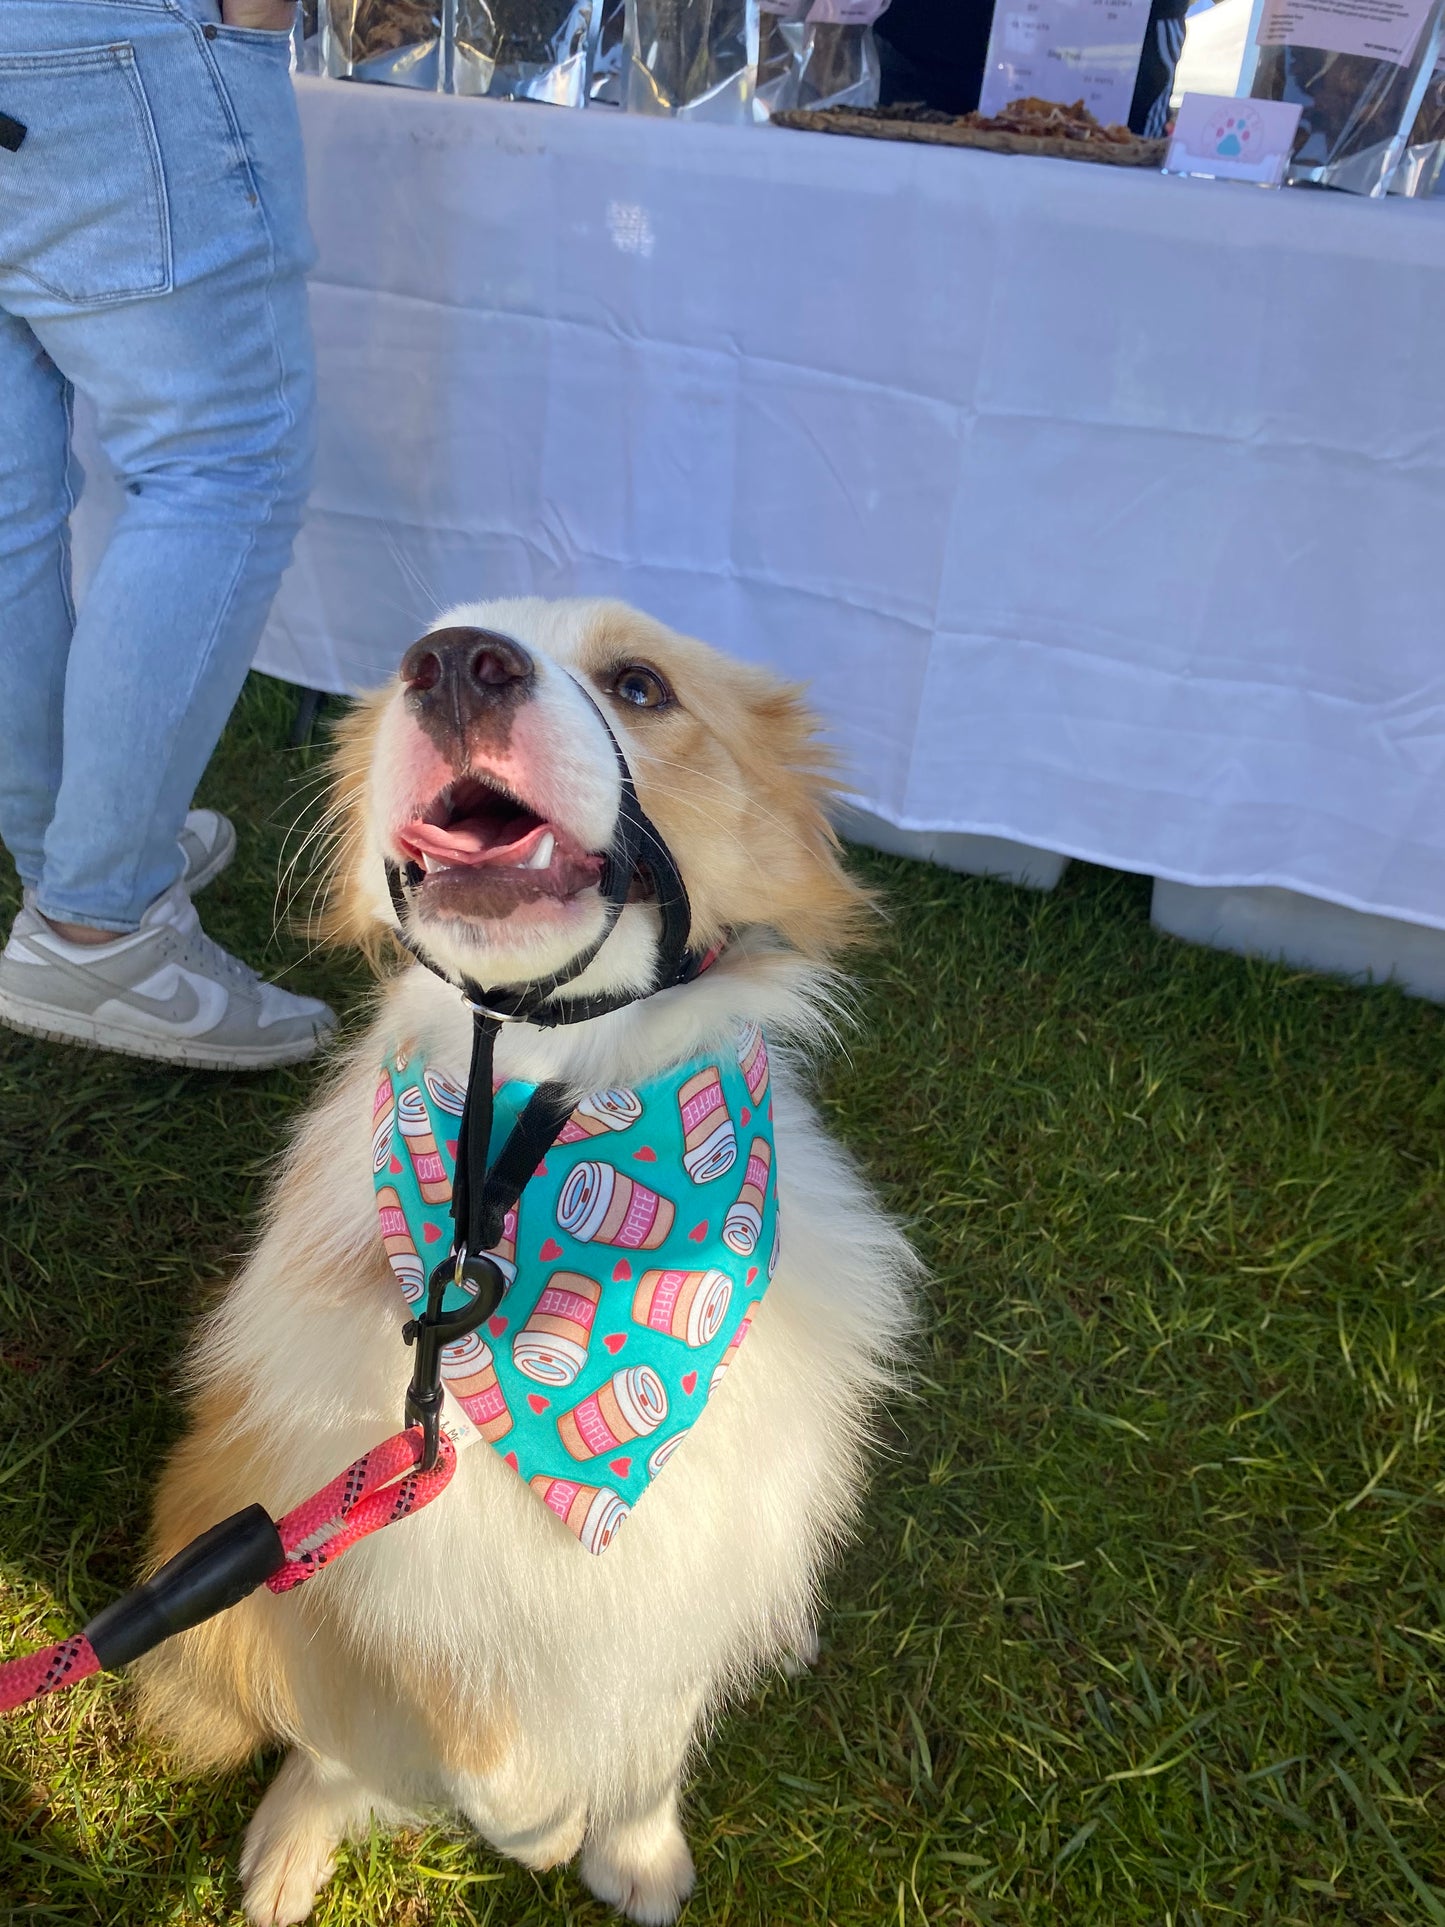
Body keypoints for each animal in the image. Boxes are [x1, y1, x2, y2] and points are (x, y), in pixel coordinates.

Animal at [138, 601, 917, 1927]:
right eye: (413, 648)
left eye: (641, 683)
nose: (456, 660)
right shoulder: (388, 1559)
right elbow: (454, 1741)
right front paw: (541, 1826)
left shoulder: (685, 1553)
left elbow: (652, 1726)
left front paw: (633, 1852)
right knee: (325, 1737)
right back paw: (295, 1841)